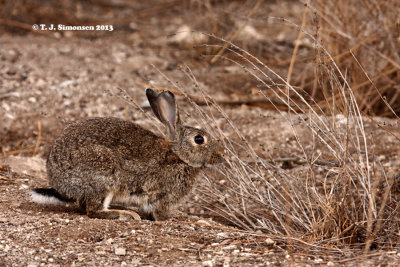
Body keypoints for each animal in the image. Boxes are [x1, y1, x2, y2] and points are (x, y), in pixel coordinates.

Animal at [29, 89, 225, 221]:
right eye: (199, 139)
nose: (221, 155)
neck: (178, 156)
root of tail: (59, 184)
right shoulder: (161, 197)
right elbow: (159, 213)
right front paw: (171, 219)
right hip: (104, 176)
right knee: (93, 211)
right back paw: (126, 214)